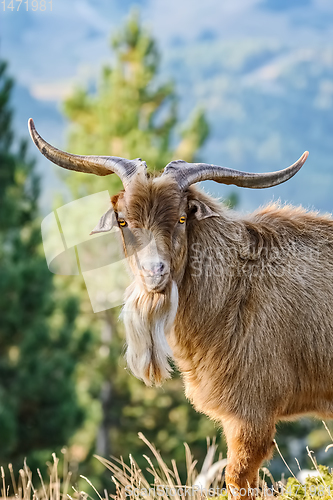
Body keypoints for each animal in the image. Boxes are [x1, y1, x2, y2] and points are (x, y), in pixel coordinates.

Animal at [27, 119, 332, 498]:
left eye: (182, 219)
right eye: (124, 221)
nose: (154, 271)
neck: (236, 288)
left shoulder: (252, 413)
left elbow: (237, 479)